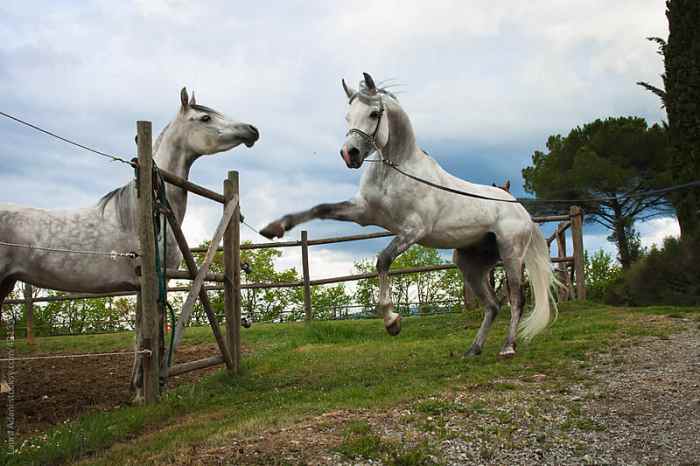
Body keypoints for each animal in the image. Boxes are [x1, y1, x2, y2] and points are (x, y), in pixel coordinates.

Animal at [0, 88, 260, 396]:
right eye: (205, 118)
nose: (252, 130)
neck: (142, 213)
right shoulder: (154, 281)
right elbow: (149, 333)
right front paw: (145, 390)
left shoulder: (141, 286)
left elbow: (140, 335)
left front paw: (136, 387)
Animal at [260, 73, 556, 356]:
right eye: (347, 116)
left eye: (374, 114)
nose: (349, 154)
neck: (395, 170)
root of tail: (520, 209)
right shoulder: (363, 213)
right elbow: (320, 209)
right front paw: (275, 227)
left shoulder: (413, 230)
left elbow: (383, 260)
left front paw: (392, 321)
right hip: (469, 263)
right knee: (493, 305)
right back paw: (473, 349)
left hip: (511, 254)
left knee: (516, 299)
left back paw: (508, 347)